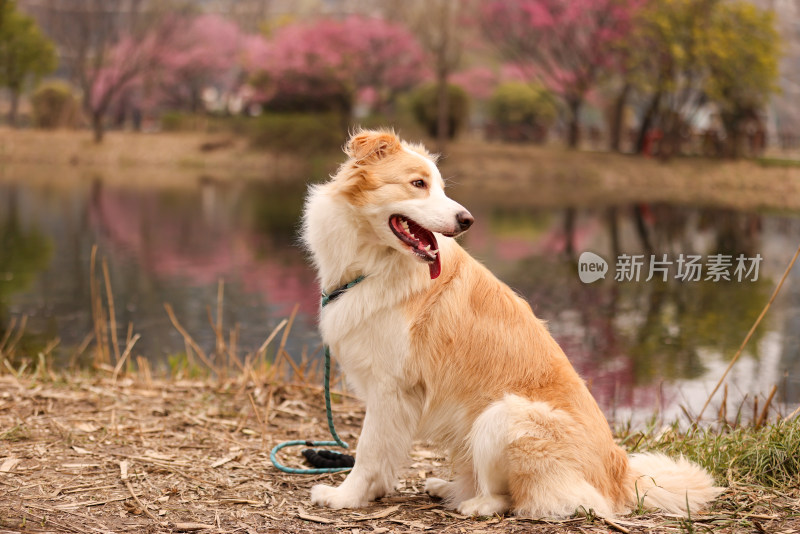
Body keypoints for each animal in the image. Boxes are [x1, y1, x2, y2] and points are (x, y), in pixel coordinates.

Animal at [298, 129, 720, 520]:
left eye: (440, 187)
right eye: (419, 184)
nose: (467, 220)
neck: (376, 262)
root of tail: (620, 477)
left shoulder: (392, 387)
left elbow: (369, 451)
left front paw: (346, 497)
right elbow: (380, 452)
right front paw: (369, 493)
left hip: (501, 416)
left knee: (514, 499)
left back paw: (473, 504)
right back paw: (447, 487)